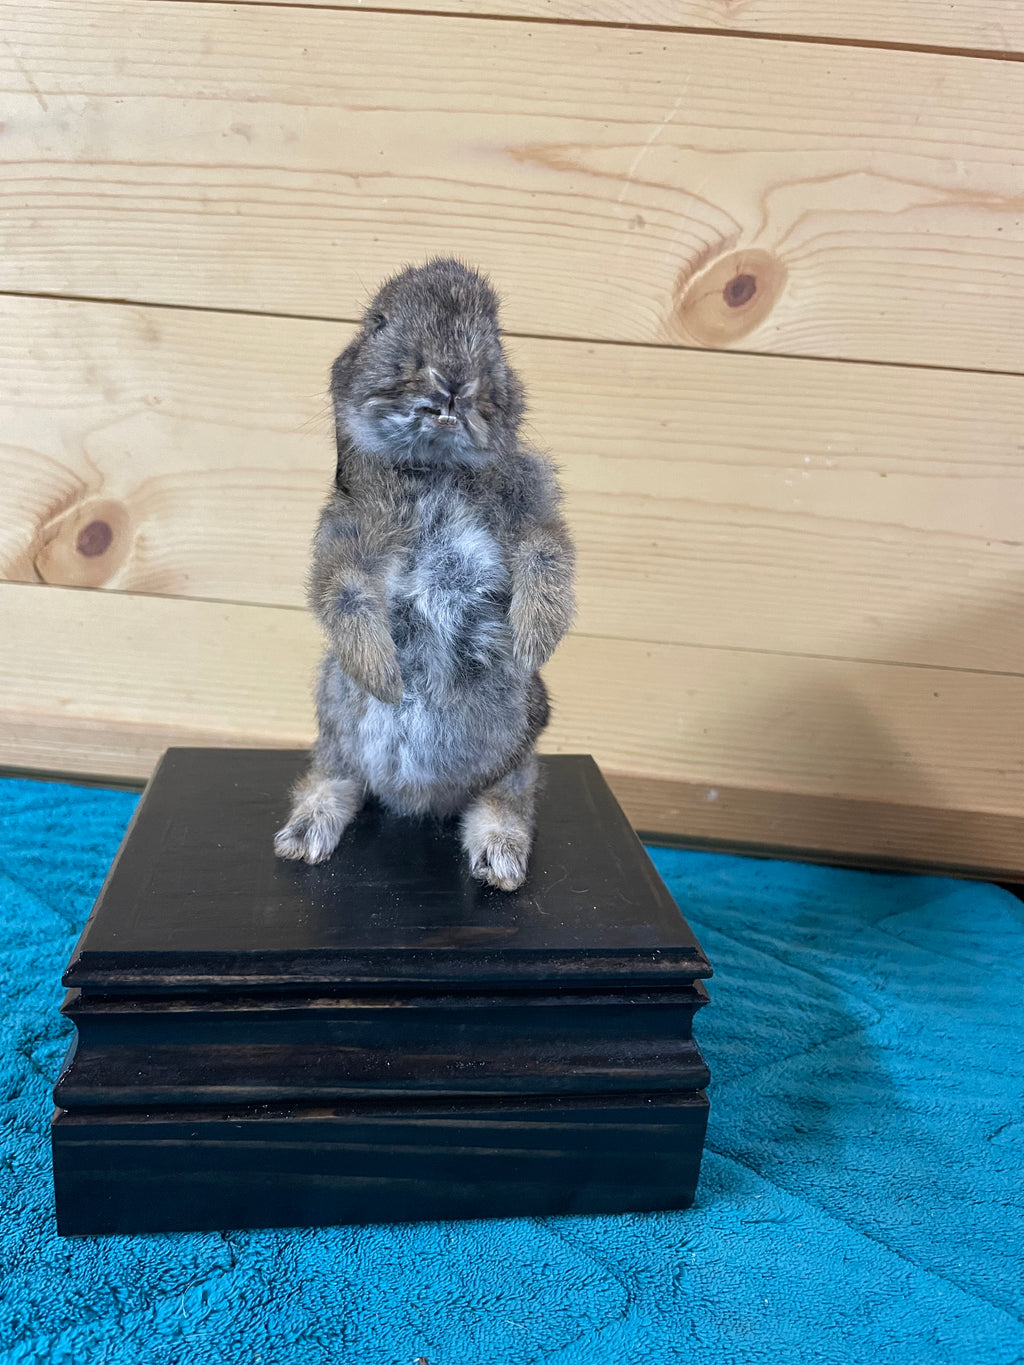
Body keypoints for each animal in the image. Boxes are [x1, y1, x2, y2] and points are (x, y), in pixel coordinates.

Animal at [274, 258, 575, 891]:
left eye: (495, 334)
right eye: (378, 322)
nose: (453, 377)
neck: (433, 468)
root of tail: (417, 801)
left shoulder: (531, 513)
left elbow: (548, 554)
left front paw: (534, 642)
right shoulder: (343, 542)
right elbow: (343, 596)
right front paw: (386, 678)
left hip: (518, 753)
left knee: (508, 795)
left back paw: (500, 862)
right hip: (334, 729)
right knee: (334, 775)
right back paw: (304, 838)